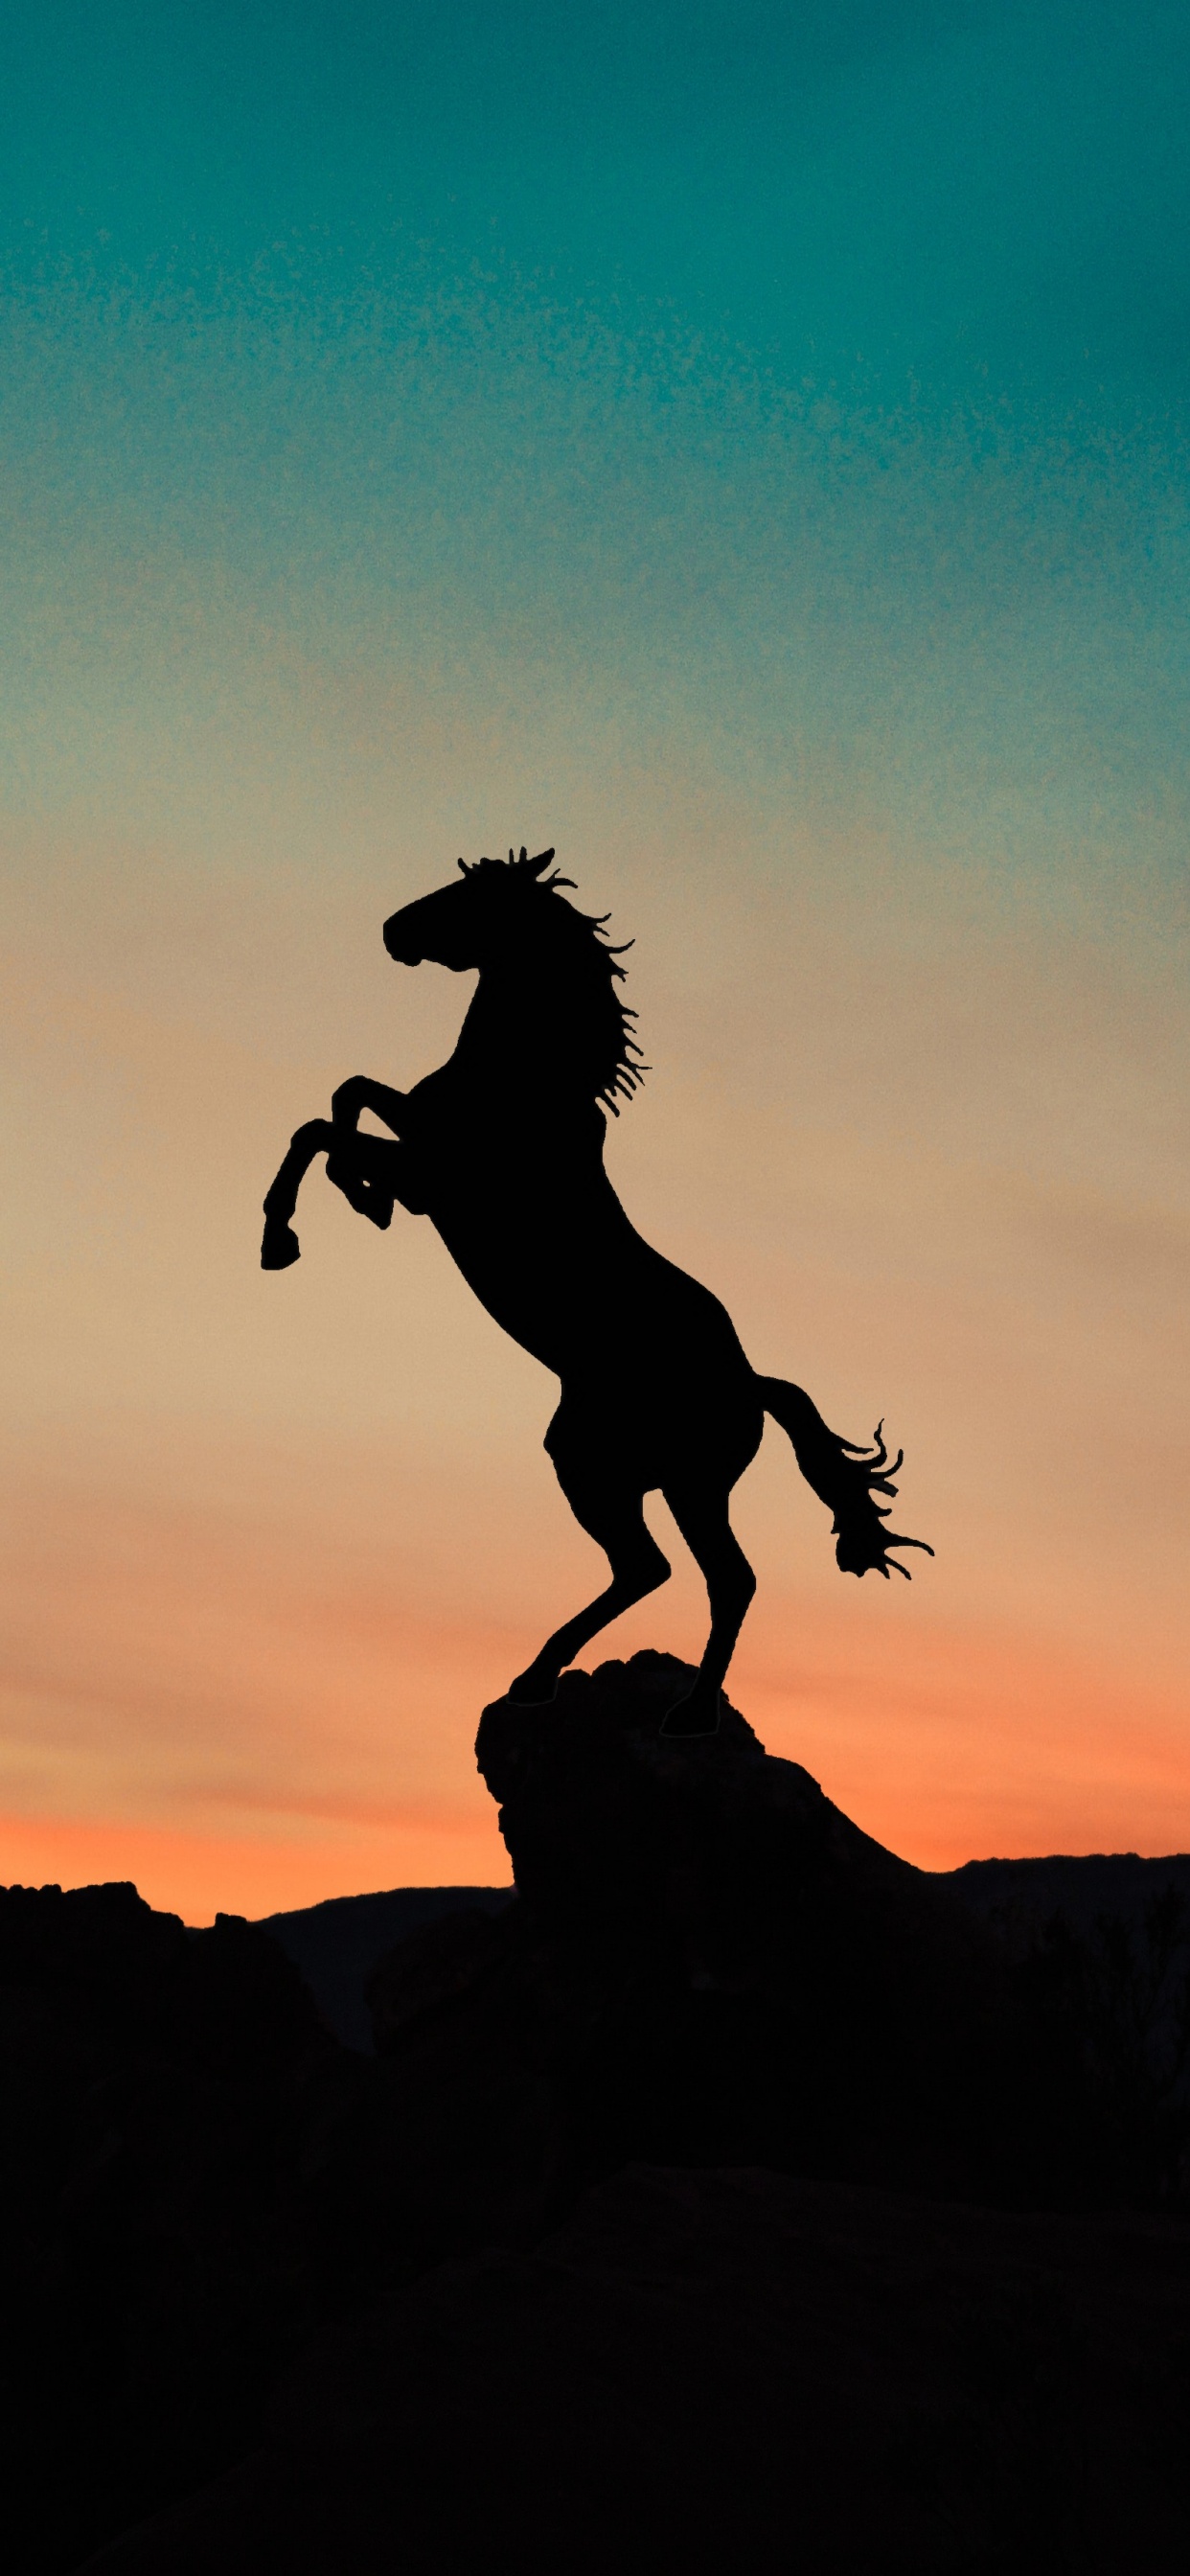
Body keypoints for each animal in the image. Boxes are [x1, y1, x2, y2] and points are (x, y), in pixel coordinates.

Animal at [260, 844, 927, 1731]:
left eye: (470, 893)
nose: (394, 931)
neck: (525, 1077)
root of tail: (751, 1383)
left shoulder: (439, 1174)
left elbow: (323, 1127)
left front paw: (288, 1234)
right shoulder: (420, 1140)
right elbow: (350, 1094)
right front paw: (357, 1203)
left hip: (664, 1479)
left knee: (711, 1575)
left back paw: (678, 1709)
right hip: (613, 1468)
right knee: (654, 1570)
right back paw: (545, 1678)